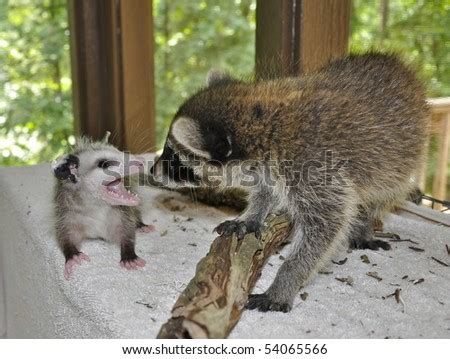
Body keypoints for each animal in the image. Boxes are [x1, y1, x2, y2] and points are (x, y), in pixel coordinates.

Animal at [150, 52, 428, 312]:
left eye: (174, 157)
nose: (152, 172)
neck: (262, 122)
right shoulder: (270, 169)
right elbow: (265, 192)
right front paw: (253, 215)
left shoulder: (312, 165)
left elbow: (326, 227)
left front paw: (286, 280)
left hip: (402, 160)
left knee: (383, 195)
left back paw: (365, 223)